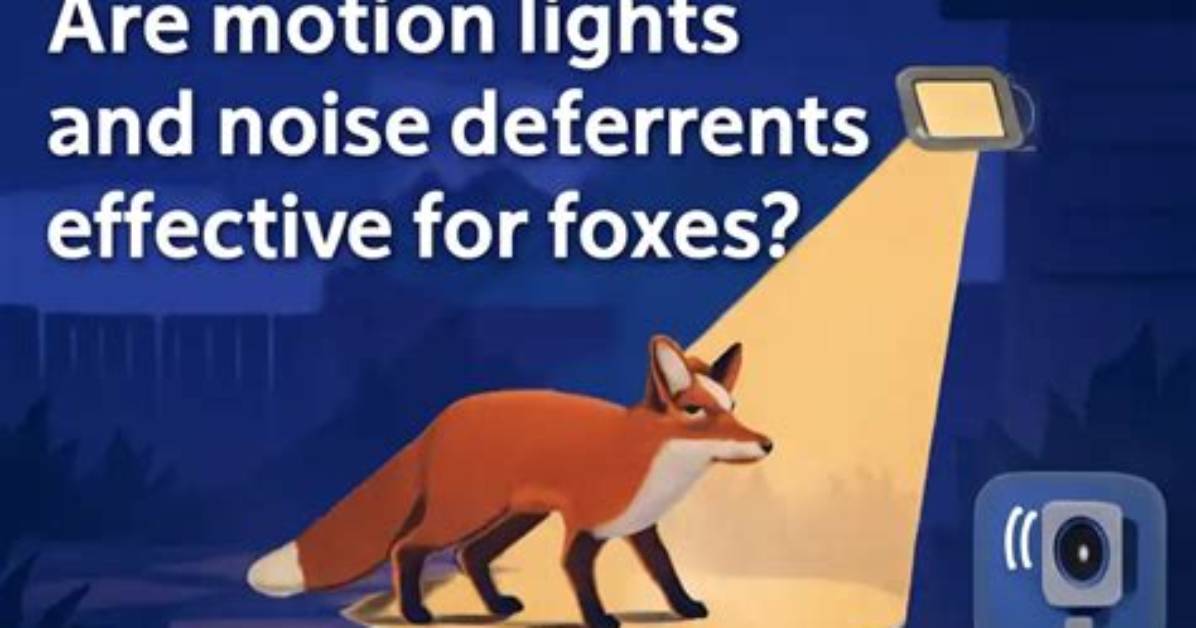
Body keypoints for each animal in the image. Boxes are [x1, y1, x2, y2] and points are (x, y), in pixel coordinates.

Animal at [247, 335, 772, 628]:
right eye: (696, 412)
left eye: (733, 408)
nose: (767, 444)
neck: (651, 461)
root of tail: (440, 421)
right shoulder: (586, 526)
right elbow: (577, 572)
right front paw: (599, 619)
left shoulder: (640, 527)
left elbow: (666, 572)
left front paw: (685, 607)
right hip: (464, 512)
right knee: (407, 547)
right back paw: (416, 614)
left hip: (517, 515)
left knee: (470, 555)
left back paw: (497, 605)